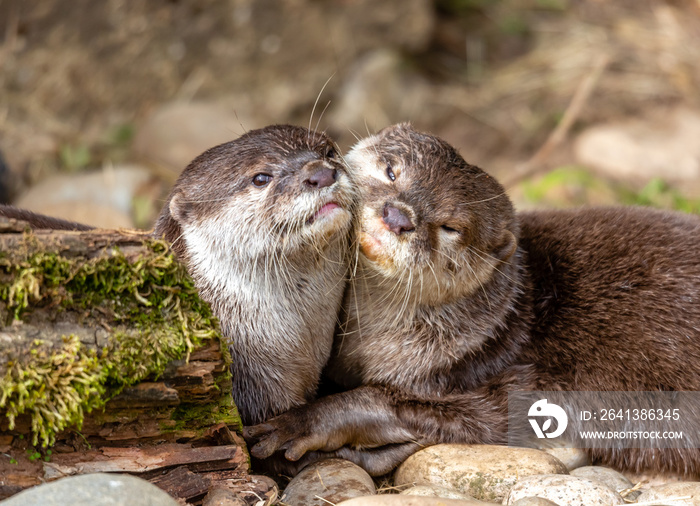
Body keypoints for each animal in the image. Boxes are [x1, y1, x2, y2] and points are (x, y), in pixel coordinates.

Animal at [245, 123, 700, 478]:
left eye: (451, 227)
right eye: (391, 171)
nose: (398, 216)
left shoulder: (504, 378)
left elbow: (418, 406)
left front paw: (305, 422)